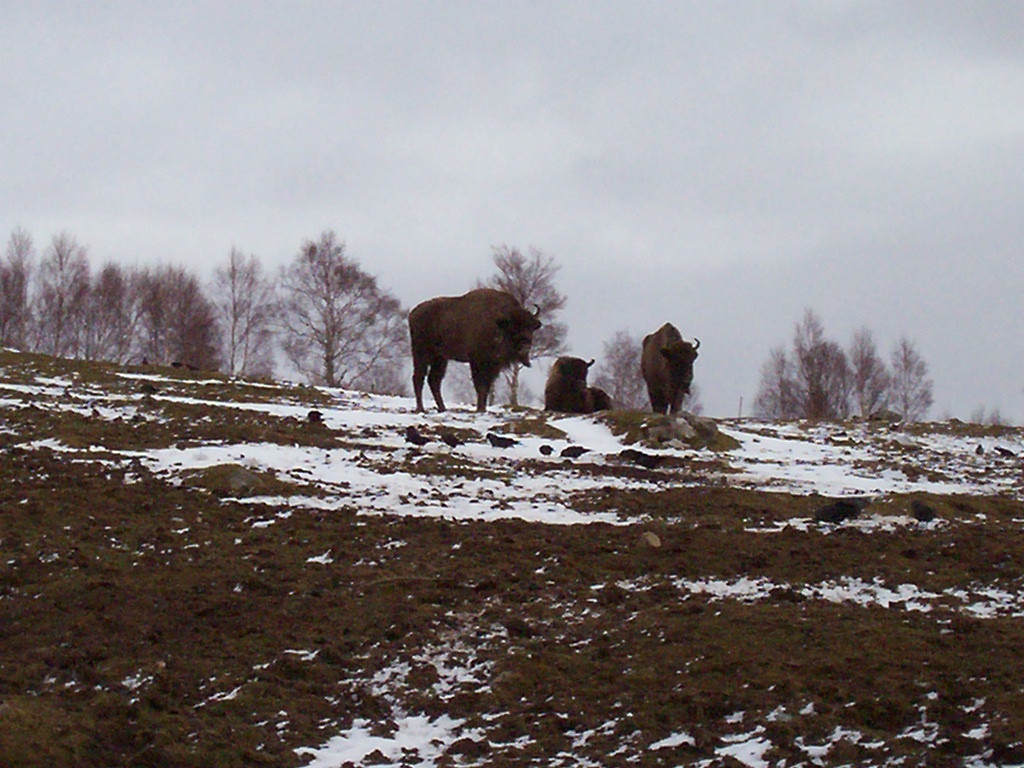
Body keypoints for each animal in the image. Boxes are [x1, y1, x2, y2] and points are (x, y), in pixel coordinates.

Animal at [409, 288, 542, 413]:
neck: (497, 324)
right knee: (419, 378)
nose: (525, 345)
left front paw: (482, 408)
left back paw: (442, 408)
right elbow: (480, 385)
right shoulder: (477, 362)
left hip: (440, 359)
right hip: (421, 355)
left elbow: (487, 386)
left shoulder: (493, 366)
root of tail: (413, 314)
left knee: (434, 380)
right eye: (514, 328)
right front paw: (480, 409)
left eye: (530, 327)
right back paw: (420, 408)